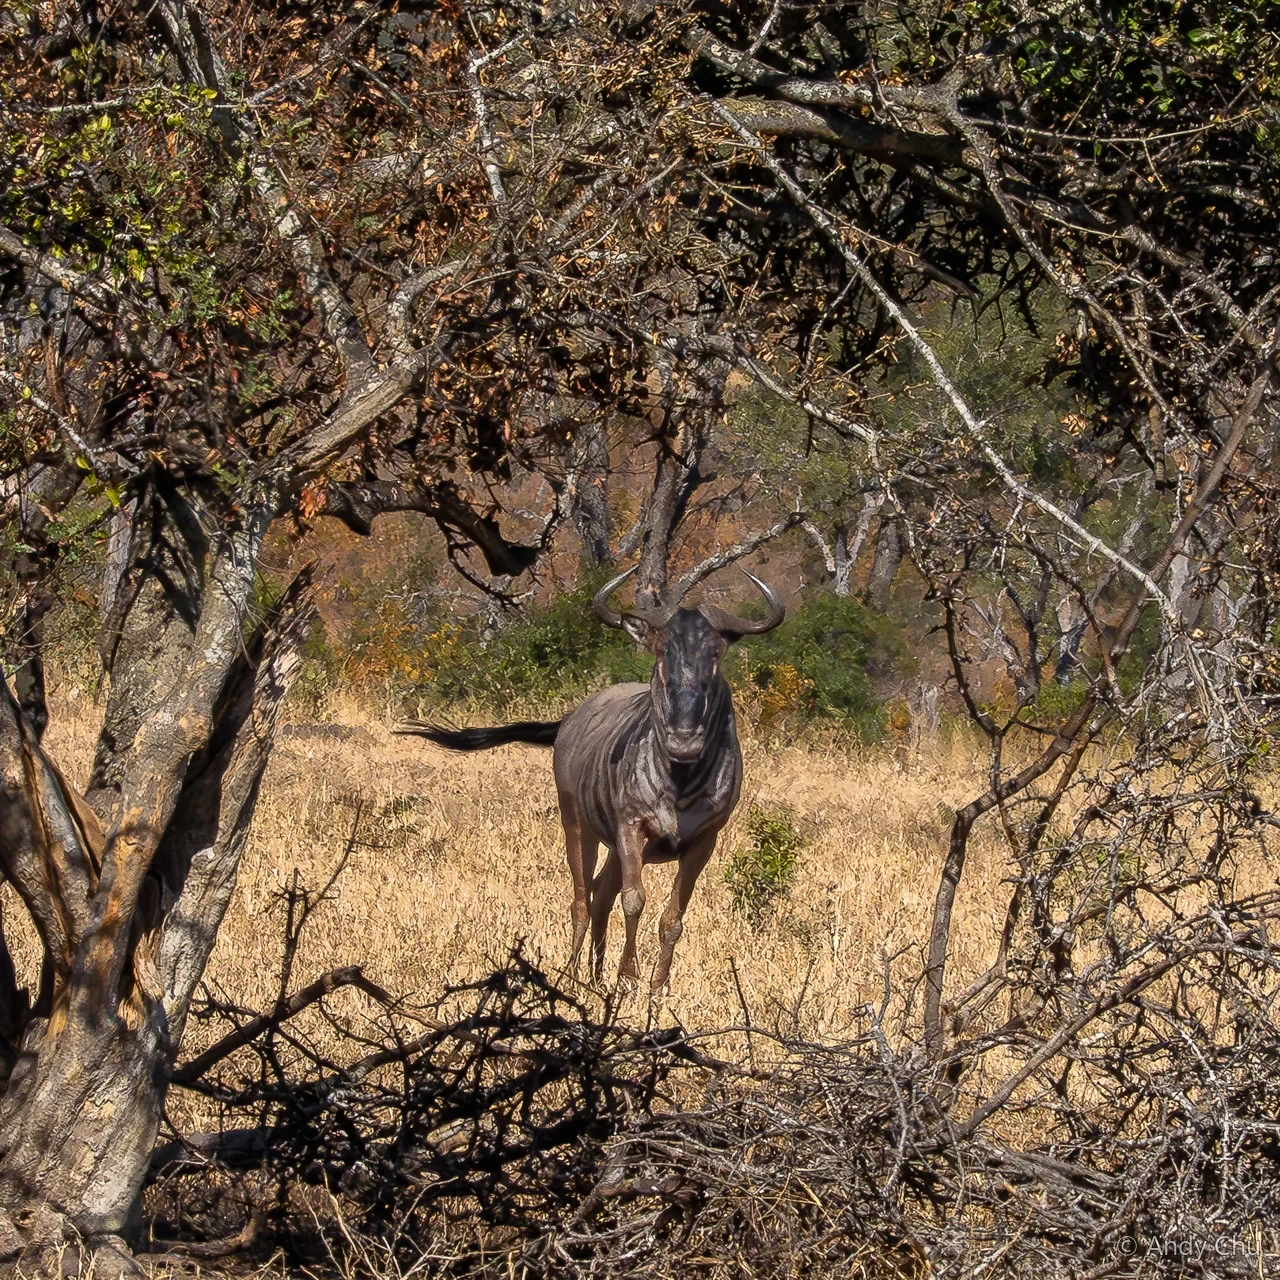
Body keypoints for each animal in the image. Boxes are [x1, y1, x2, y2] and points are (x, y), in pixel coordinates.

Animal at [397, 567, 785, 992]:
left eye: (715, 653)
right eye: (661, 651)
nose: (684, 740)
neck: (679, 781)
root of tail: (569, 721)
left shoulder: (704, 841)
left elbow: (672, 918)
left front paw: (657, 987)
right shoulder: (632, 827)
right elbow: (634, 901)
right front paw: (628, 977)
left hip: (613, 845)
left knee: (601, 894)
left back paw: (596, 977)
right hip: (577, 827)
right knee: (582, 899)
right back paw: (571, 974)